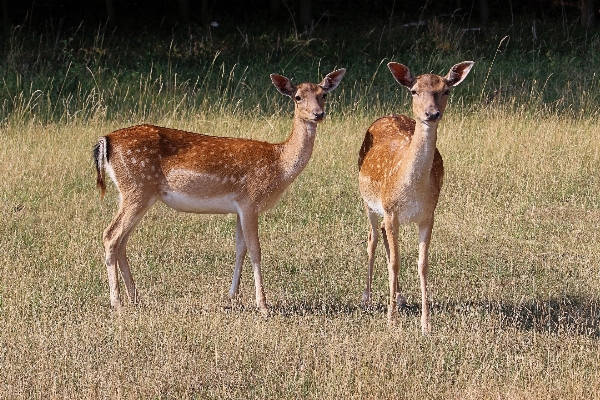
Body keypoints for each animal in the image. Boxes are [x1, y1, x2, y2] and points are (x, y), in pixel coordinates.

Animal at [95, 68, 346, 312]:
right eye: (297, 97)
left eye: (324, 95)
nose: (318, 114)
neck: (279, 164)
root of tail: (105, 140)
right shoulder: (250, 200)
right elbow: (255, 250)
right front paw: (263, 305)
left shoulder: (239, 207)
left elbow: (240, 248)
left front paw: (233, 297)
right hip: (136, 189)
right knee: (110, 235)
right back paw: (117, 302)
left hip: (137, 193)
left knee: (122, 241)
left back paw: (136, 298)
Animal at [356, 60, 474, 334]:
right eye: (414, 91)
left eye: (446, 90)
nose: (431, 113)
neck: (412, 189)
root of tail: (387, 115)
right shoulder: (390, 210)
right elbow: (395, 262)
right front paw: (391, 321)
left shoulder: (428, 215)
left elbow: (422, 264)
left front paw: (426, 324)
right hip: (368, 202)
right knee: (372, 238)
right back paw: (367, 297)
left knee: (383, 236)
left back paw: (400, 297)